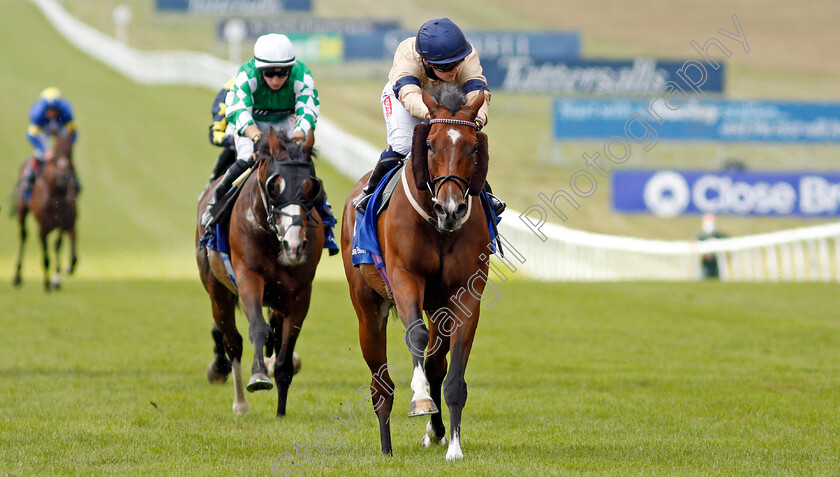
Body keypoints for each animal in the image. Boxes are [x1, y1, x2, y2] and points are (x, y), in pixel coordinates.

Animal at [13, 135, 79, 290]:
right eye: (54, 157)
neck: (56, 196)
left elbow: (58, 244)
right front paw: (48, 282)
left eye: (70, 152)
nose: (64, 178)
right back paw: (17, 277)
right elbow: (46, 256)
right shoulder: (43, 228)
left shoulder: (63, 221)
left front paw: (56, 280)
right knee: (23, 236)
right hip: (22, 212)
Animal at [197, 127, 324, 416]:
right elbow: (257, 328)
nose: (294, 246)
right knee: (232, 341)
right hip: (218, 292)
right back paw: (240, 403)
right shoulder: (248, 277)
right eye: (274, 186)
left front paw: (281, 410)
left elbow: (285, 352)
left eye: (311, 186)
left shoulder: (300, 293)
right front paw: (258, 376)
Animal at [338, 84, 488, 458]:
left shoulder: (465, 292)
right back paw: (386, 447)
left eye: (473, 146)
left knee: (436, 363)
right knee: (380, 383)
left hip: (437, 306)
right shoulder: (405, 277)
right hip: (367, 306)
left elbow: (453, 374)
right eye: (431, 144)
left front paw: (454, 447)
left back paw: (435, 431)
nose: (451, 209)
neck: (438, 227)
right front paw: (420, 399)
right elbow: (415, 335)